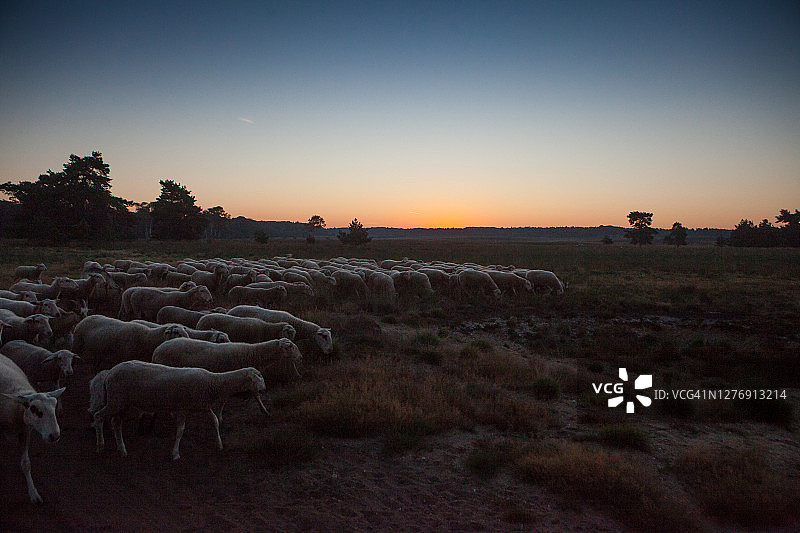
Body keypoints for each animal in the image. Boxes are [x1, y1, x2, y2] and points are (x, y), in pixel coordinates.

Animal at [0, 354, 65, 498]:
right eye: (34, 409)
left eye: (54, 405)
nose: (55, 436)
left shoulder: (25, 431)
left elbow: (26, 464)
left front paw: (33, 493)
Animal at [90, 360, 266, 460]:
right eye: (257, 377)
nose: (263, 390)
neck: (212, 382)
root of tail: (110, 373)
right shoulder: (182, 408)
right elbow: (180, 430)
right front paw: (175, 453)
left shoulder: (203, 406)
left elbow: (215, 421)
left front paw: (220, 444)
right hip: (116, 400)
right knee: (99, 416)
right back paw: (100, 446)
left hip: (122, 402)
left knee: (116, 422)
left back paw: (122, 449)